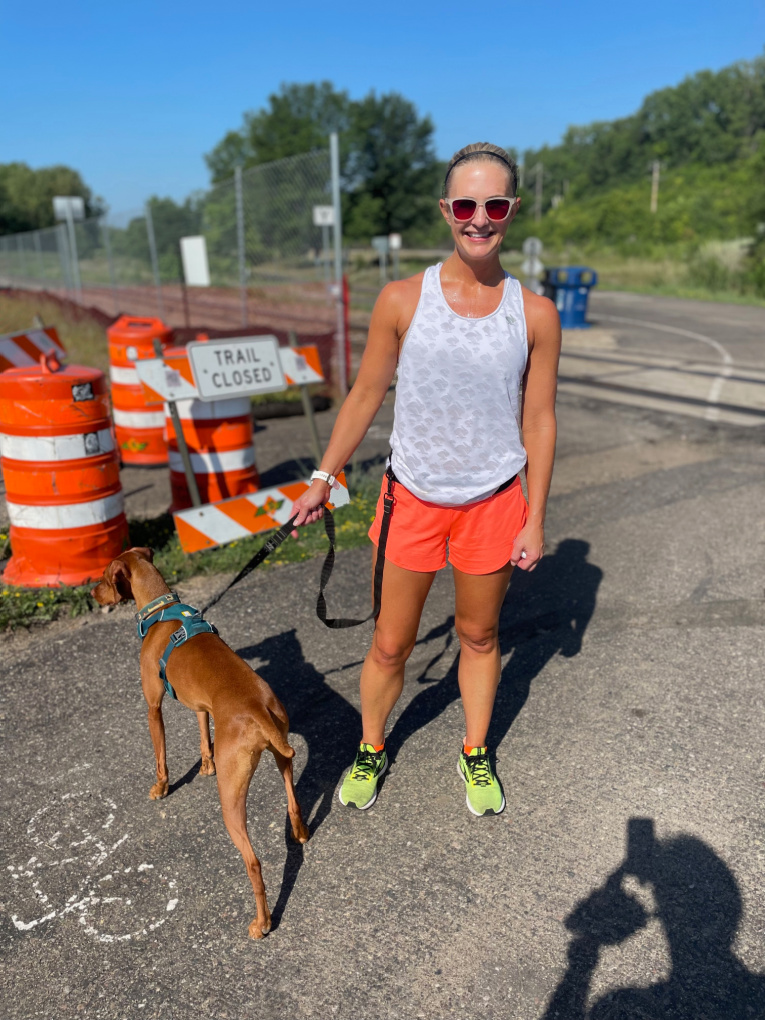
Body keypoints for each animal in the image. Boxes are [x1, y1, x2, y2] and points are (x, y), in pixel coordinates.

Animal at [91, 547, 309, 939]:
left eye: (102, 577)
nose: (91, 593)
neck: (161, 612)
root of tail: (257, 710)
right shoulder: (201, 706)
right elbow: (203, 735)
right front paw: (206, 765)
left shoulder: (153, 706)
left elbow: (160, 755)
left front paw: (161, 787)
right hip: (282, 755)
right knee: (293, 802)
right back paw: (301, 833)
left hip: (231, 801)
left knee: (254, 863)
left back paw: (262, 923)